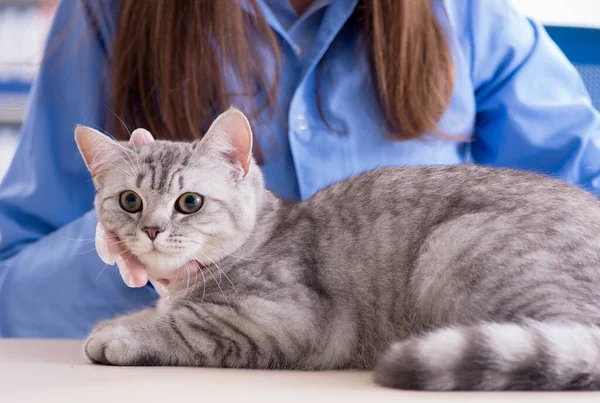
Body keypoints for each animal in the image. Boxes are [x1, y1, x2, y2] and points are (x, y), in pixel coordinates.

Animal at [76, 108, 600, 392]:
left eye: (189, 202)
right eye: (129, 201)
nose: (152, 229)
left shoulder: (283, 318)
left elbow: (182, 324)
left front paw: (120, 334)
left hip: (454, 247)